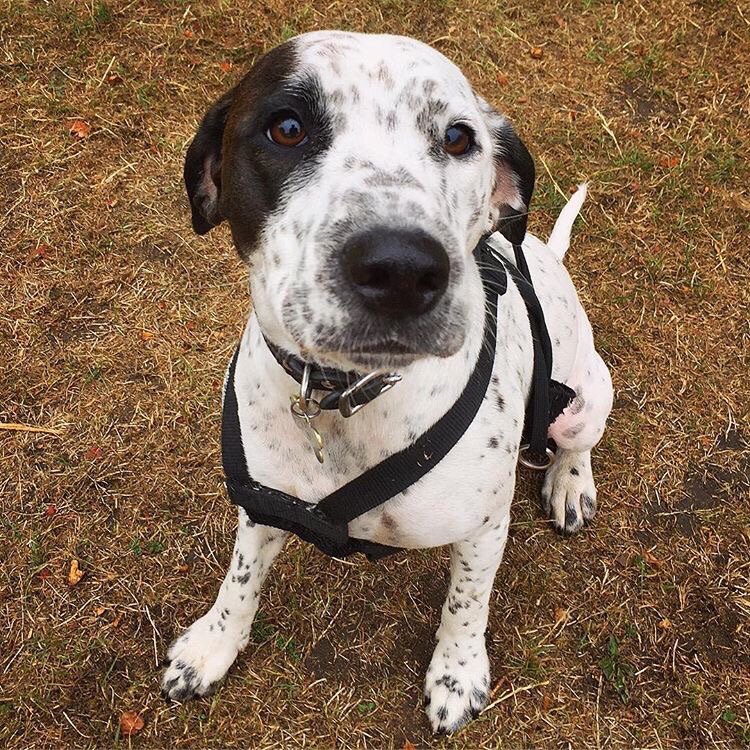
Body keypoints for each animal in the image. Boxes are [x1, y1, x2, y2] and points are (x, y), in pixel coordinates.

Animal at [162, 30, 612, 736]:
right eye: (286, 127)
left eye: (458, 138)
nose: (402, 267)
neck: (345, 396)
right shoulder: (263, 503)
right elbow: (239, 580)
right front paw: (213, 645)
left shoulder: (485, 526)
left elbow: (466, 603)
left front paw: (457, 674)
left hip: (587, 395)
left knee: (576, 439)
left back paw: (570, 483)